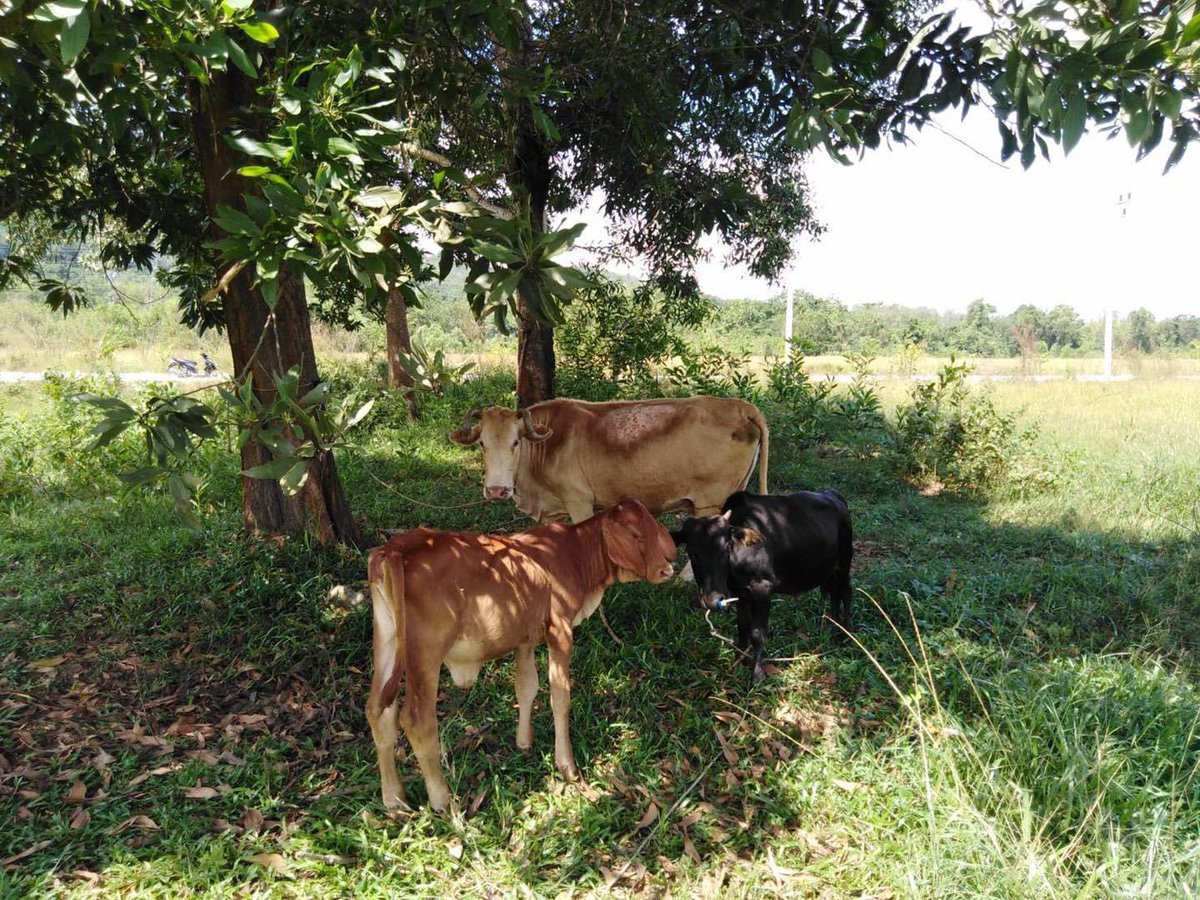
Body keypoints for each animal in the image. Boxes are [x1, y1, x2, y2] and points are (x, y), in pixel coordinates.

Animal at [364, 498, 677, 813]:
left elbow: (526, 688)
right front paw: (567, 765)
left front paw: (524, 742)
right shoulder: (560, 632)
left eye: (653, 526)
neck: (574, 555)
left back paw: (393, 798)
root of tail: (397, 547)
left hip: (386, 641)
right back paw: (442, 801)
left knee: (378, 710)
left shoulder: (525, 638)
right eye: (635, 534)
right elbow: (560, 698)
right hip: (425, 654)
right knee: (417, 720)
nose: (666, 571)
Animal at [448, 397, 769, 525]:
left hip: (709, 502)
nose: (496, 490)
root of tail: (740, 406)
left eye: (515, 443)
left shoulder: (580, 502)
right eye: (481, 444)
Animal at [671, 490, 853, 685]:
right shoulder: (740, 594)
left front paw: (757, 675)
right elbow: (742, 627)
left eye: (726, 547)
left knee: (846, 593)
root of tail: (833, 495)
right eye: (692, 552)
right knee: (834, 595)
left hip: (844, 565)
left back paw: (846, 633)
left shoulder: (763, 589)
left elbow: (757, 633)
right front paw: (739, 660)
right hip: (830, 572)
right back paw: (834, 628)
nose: (712, 600)